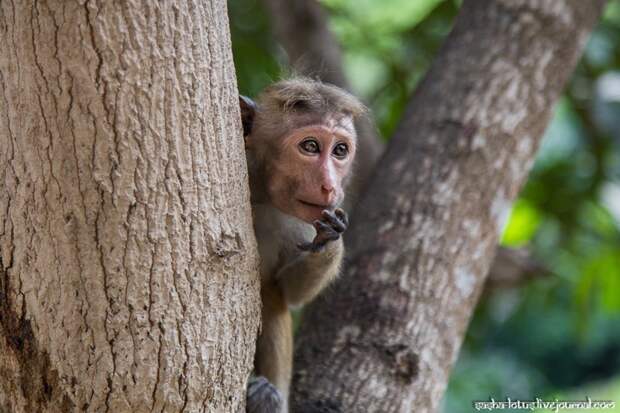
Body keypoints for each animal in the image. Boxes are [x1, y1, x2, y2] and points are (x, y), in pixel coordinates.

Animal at [236, 78, 364, 412]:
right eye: (310, 146)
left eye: (340, 150)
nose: (330, 186)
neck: (258, 194)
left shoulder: (295, 222)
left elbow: (289, 291)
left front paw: (331, 239)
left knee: (272, 295)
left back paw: (268, 397)